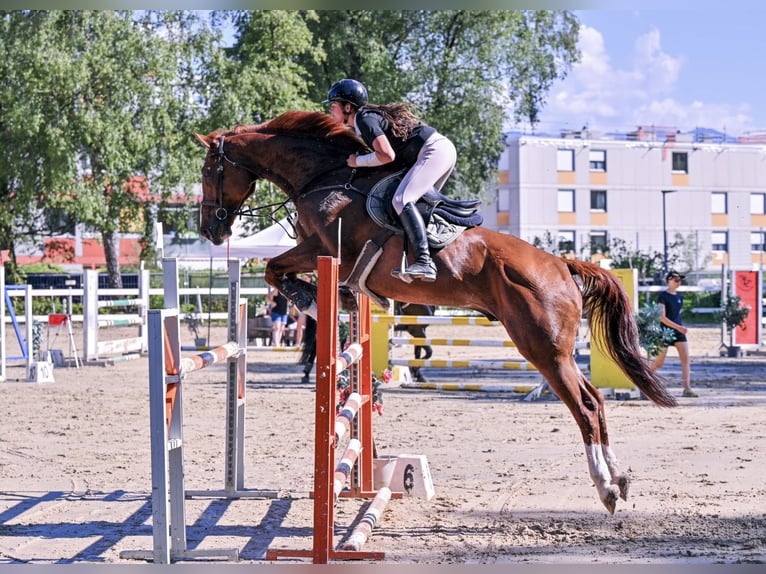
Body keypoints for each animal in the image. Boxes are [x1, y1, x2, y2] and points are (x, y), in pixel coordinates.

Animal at [194, 110, 677, 515]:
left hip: (543, 349)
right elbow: (277, 270)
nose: (210, 231)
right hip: (551, 349)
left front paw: (316, 299)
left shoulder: (325, 249)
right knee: (596, 399)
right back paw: (619, 478)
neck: (323, 179)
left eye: (207, 171)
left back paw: (606, 487)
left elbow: (275, 268)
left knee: (586, 406)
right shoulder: (320, 251)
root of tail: (561, 264)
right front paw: (333, 299)